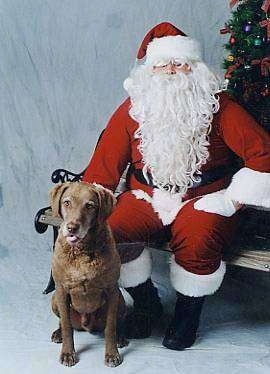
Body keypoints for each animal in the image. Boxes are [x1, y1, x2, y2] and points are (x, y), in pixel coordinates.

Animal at [49, 183, 127, 366]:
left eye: (90, 206)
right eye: (67, 202)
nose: (72, 228)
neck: (82, 251)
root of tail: (85, 325)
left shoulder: (112, 290)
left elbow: (110, 327)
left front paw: (112, 354)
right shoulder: (61, 290)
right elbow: (67, 326)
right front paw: (68, 353)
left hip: (121, 300)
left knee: (117, 321)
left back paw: (121, 336)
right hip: (54, 299)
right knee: (63, 321)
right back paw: (58, 333)